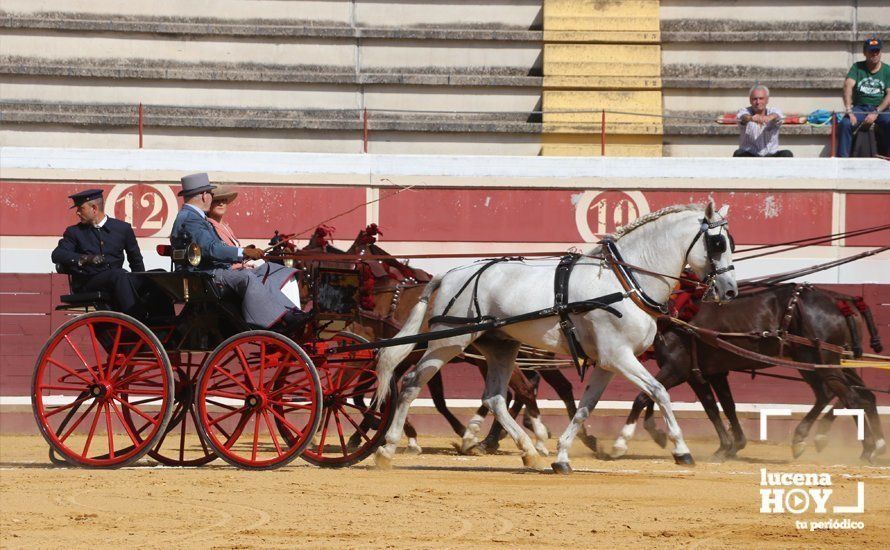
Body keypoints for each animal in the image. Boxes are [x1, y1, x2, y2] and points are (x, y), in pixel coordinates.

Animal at [372, 205, 736, 472]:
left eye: (731, 242)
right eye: (717, 244)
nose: (730, 290)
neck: (624, 281)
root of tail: (447, 273)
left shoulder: (607, 363)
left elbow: (585, 408)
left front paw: (562, 455)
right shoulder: (619, 357)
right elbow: (659, 392)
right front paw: (681, 449)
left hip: (501, 347)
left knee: (495, 398)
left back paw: (528, 451)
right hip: (447, 343)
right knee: (411, 384)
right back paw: (387, 449)